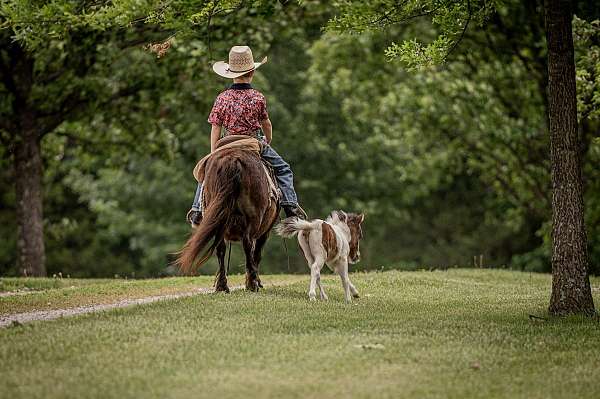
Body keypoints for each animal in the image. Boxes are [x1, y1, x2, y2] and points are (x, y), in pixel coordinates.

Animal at [176, 148, 278, 292]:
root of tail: (233, 161)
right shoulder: (265, 232)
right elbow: (256, 254)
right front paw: (255, 281)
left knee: (221, 249)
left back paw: (222, 285)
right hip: (254, 219)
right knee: (248, 246)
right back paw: (251, 284)